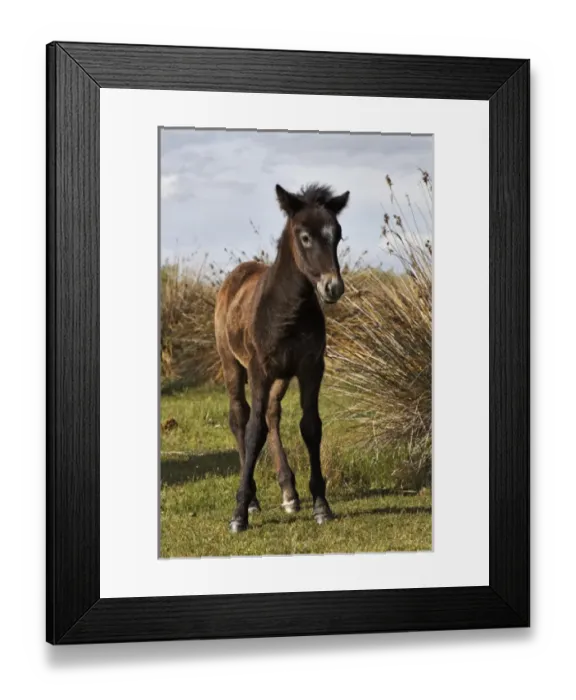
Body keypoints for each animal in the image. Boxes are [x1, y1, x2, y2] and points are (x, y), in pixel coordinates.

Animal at [214, 183, 350, 533]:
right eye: (304, 236)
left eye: (337, 233)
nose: (333, 287)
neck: (287, 309)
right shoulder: (259, 371)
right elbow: (253, 432)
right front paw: (239, 513)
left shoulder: (311, 368)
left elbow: (310, 427)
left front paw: (321, 505)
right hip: (232, 364)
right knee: (240, 417)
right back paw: (253, 500)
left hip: (283, 376)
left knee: (272, 414)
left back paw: (289, 492)